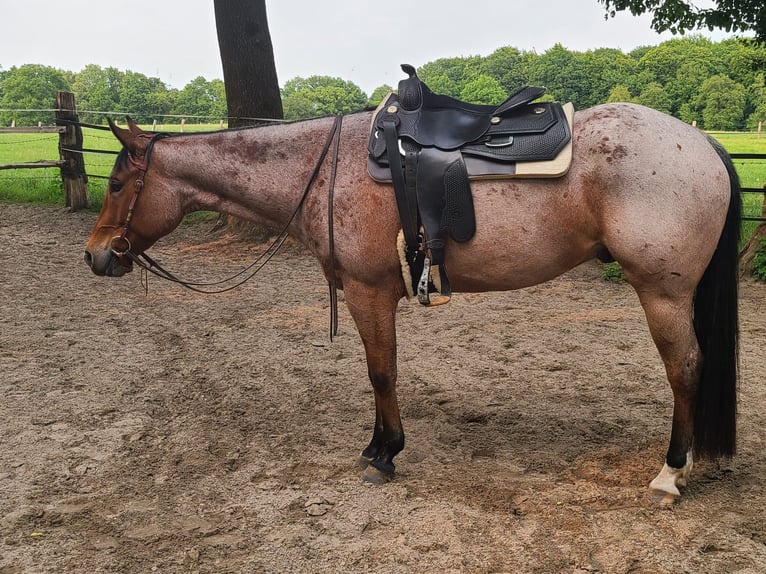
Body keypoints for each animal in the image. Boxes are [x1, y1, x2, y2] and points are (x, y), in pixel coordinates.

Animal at [84, 103, 740, 503]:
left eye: (116, 184)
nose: (95, 256)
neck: (323, 170)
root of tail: (700, 142)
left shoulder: (368, 292)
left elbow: (381, 371)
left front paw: (383, 453)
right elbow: (385, 371)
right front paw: (381, 446)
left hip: (662, 292)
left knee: (685, 369)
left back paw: (669, 473)